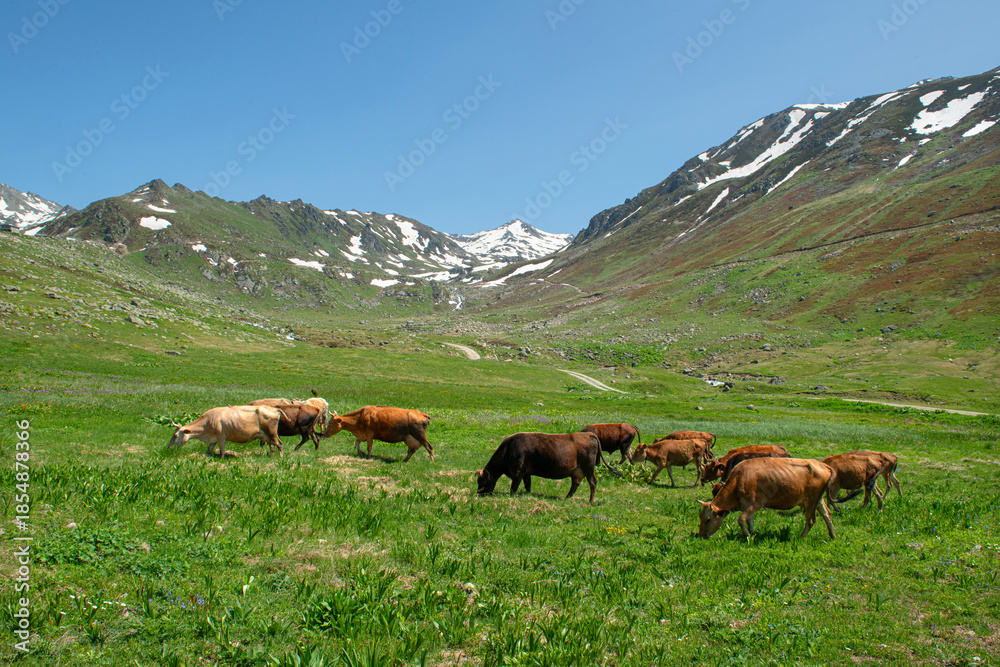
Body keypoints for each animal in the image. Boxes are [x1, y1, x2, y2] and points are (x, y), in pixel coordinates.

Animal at [697, 458, 837, 540]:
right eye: (700, 517)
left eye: (708, 520)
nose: (701, 535)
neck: (739, 479)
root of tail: (824, 465)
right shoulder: (747, 506)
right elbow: (749, 521)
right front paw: (752, 533)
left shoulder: (755, 504)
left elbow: (741, 520)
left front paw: (746, 536)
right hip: (818, 499)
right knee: (827, 514)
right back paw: (832, 536)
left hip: (811, 500)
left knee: (810, 520)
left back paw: (800, 537)